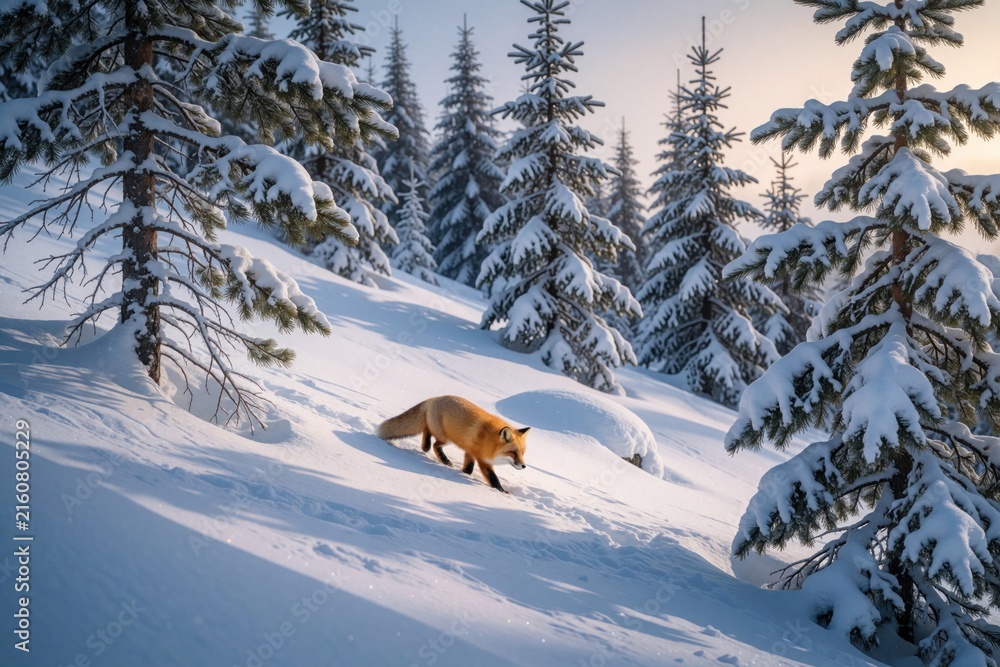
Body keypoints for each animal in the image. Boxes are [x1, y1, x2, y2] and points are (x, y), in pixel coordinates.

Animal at [376, 395, 529, 493]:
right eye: (513, 452)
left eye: (522, 453)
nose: (524, 466)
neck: (489, 440)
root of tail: (435, 398)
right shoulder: (482, 459)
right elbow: (493, 478)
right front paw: (502, 491)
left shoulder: (470, 452)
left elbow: (468, 468)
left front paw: (464, 474)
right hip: (446, 438)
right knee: (434, 444)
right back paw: (440, 456)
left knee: (427, 430)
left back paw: (426, 447)